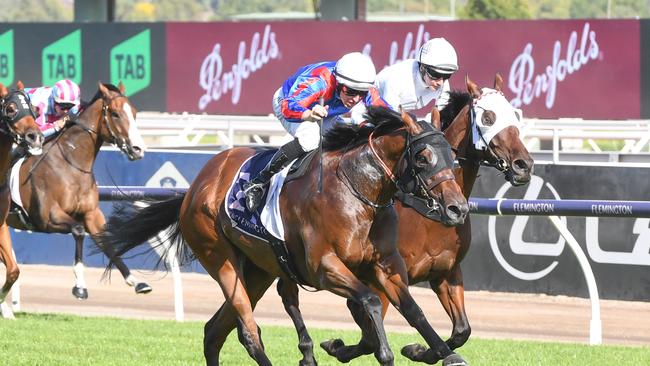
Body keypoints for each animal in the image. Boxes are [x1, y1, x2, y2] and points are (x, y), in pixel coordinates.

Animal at [2, 82, 149, 304]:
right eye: (115, 113)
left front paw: (135, 281)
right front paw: (80, 286)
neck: (70, 163)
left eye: (134, 112)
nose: (138, 149)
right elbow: (78, 231)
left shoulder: (92, 214)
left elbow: (106, 241)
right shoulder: (48, 217)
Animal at [96, 106, 468, 366]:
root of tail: (195, 187)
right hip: (220, 259)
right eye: (423, 157)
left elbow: (413, 310)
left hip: (257, 270)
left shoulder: (387, 265)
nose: (458, 209)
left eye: (453, 156)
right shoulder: (324, 267)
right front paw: (383, 351)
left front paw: (441, 353)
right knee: (248, 332)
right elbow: (371, 301)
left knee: (214, 332)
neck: (358, 190)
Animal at [270, 73, 536, 364]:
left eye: (514, 114)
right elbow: (368, 334)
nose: (524, 165)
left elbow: (461, 330)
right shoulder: (381, 274)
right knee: (288, 293)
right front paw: (338, 346)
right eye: (488, 117)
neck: (427, 213)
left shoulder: (446, 272)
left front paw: (420, 350)